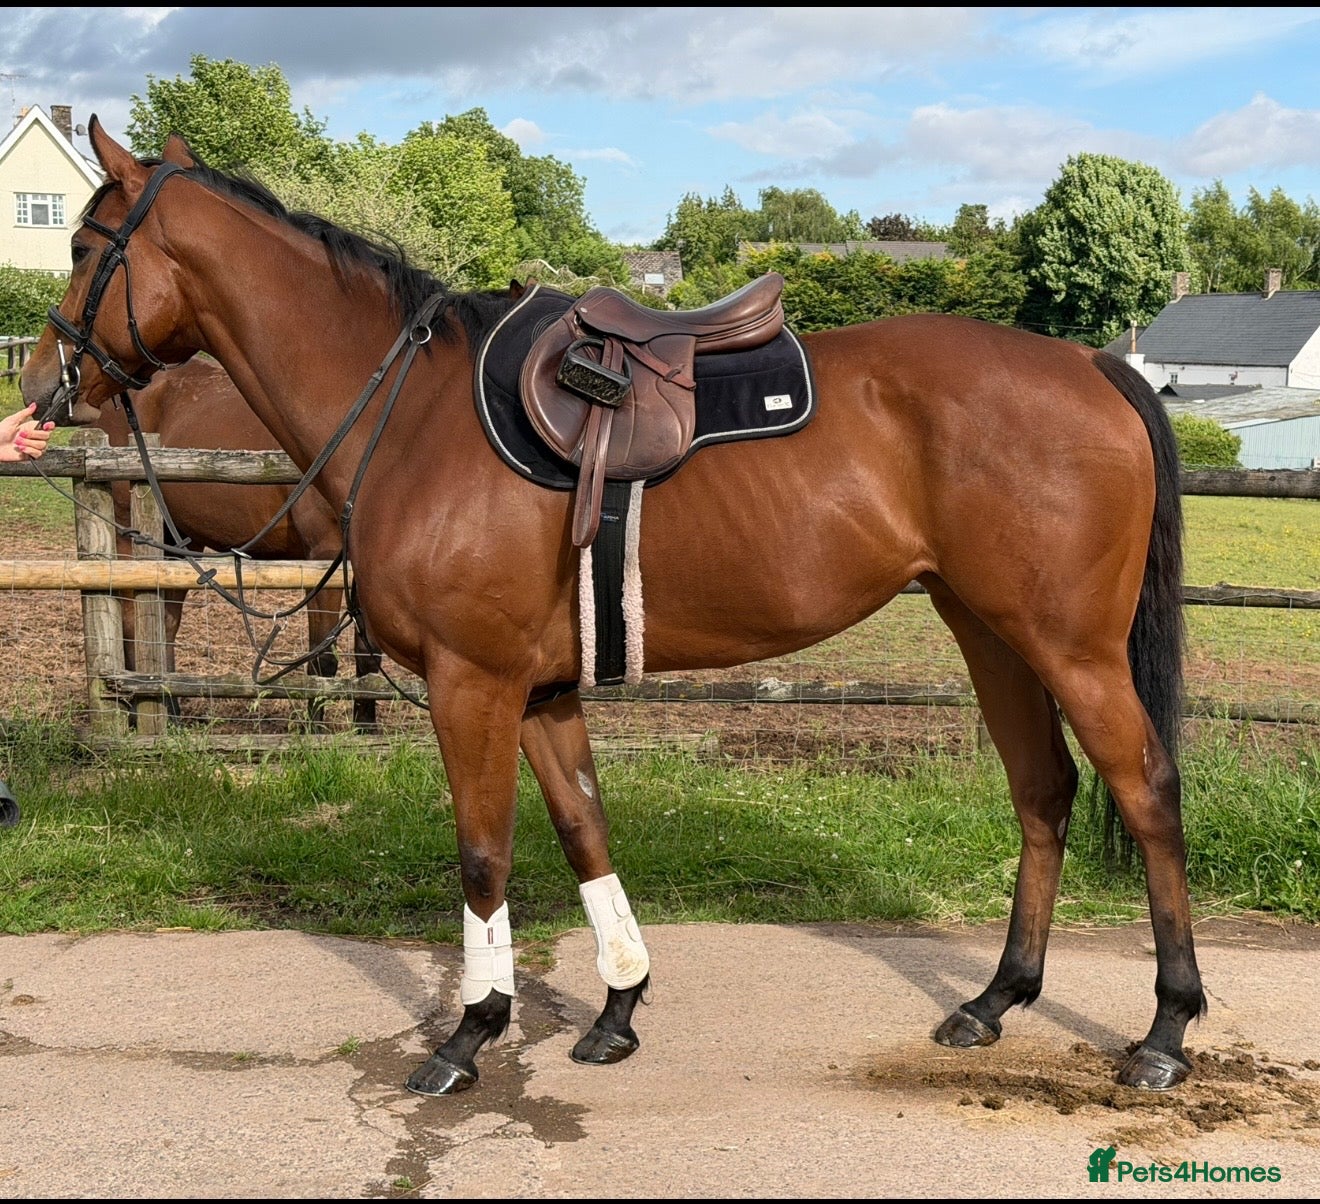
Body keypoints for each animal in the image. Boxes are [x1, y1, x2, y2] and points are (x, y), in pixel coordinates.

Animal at [93, 356, 382, 732]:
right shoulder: (323, 558)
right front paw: (316, 733)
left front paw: (367, 730)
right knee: (132, 624)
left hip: (177, 543)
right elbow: (322, 658)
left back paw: (171, 711)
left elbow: (367, 657)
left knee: (166, 624)